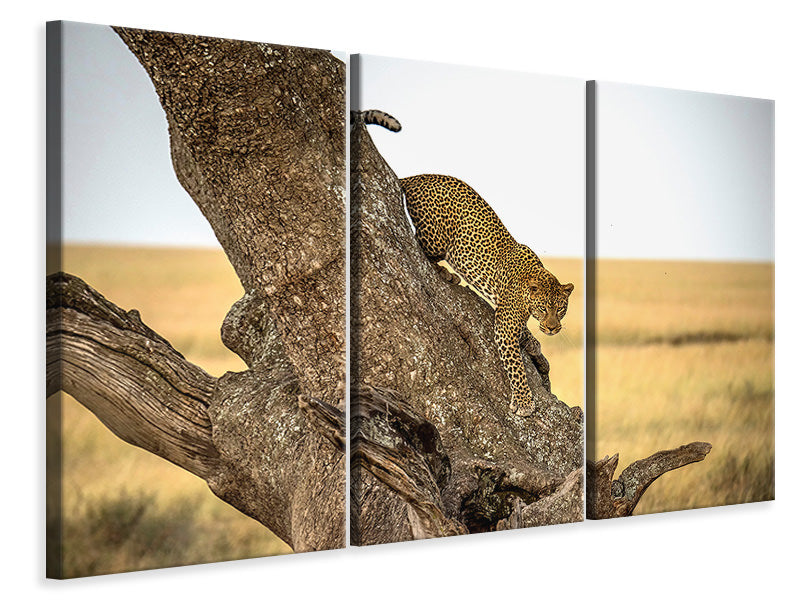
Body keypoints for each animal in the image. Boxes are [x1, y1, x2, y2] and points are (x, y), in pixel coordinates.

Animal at [399, 174, 574, 418]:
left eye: (560, 309)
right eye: (543, 309)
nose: (552, 328)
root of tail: (416, 177)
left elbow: (526, 333)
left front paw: (534, 346)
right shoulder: (505, 327)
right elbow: (516, 367)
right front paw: (524, 402)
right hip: (437, 238)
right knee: (420, 246)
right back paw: (447, 273)